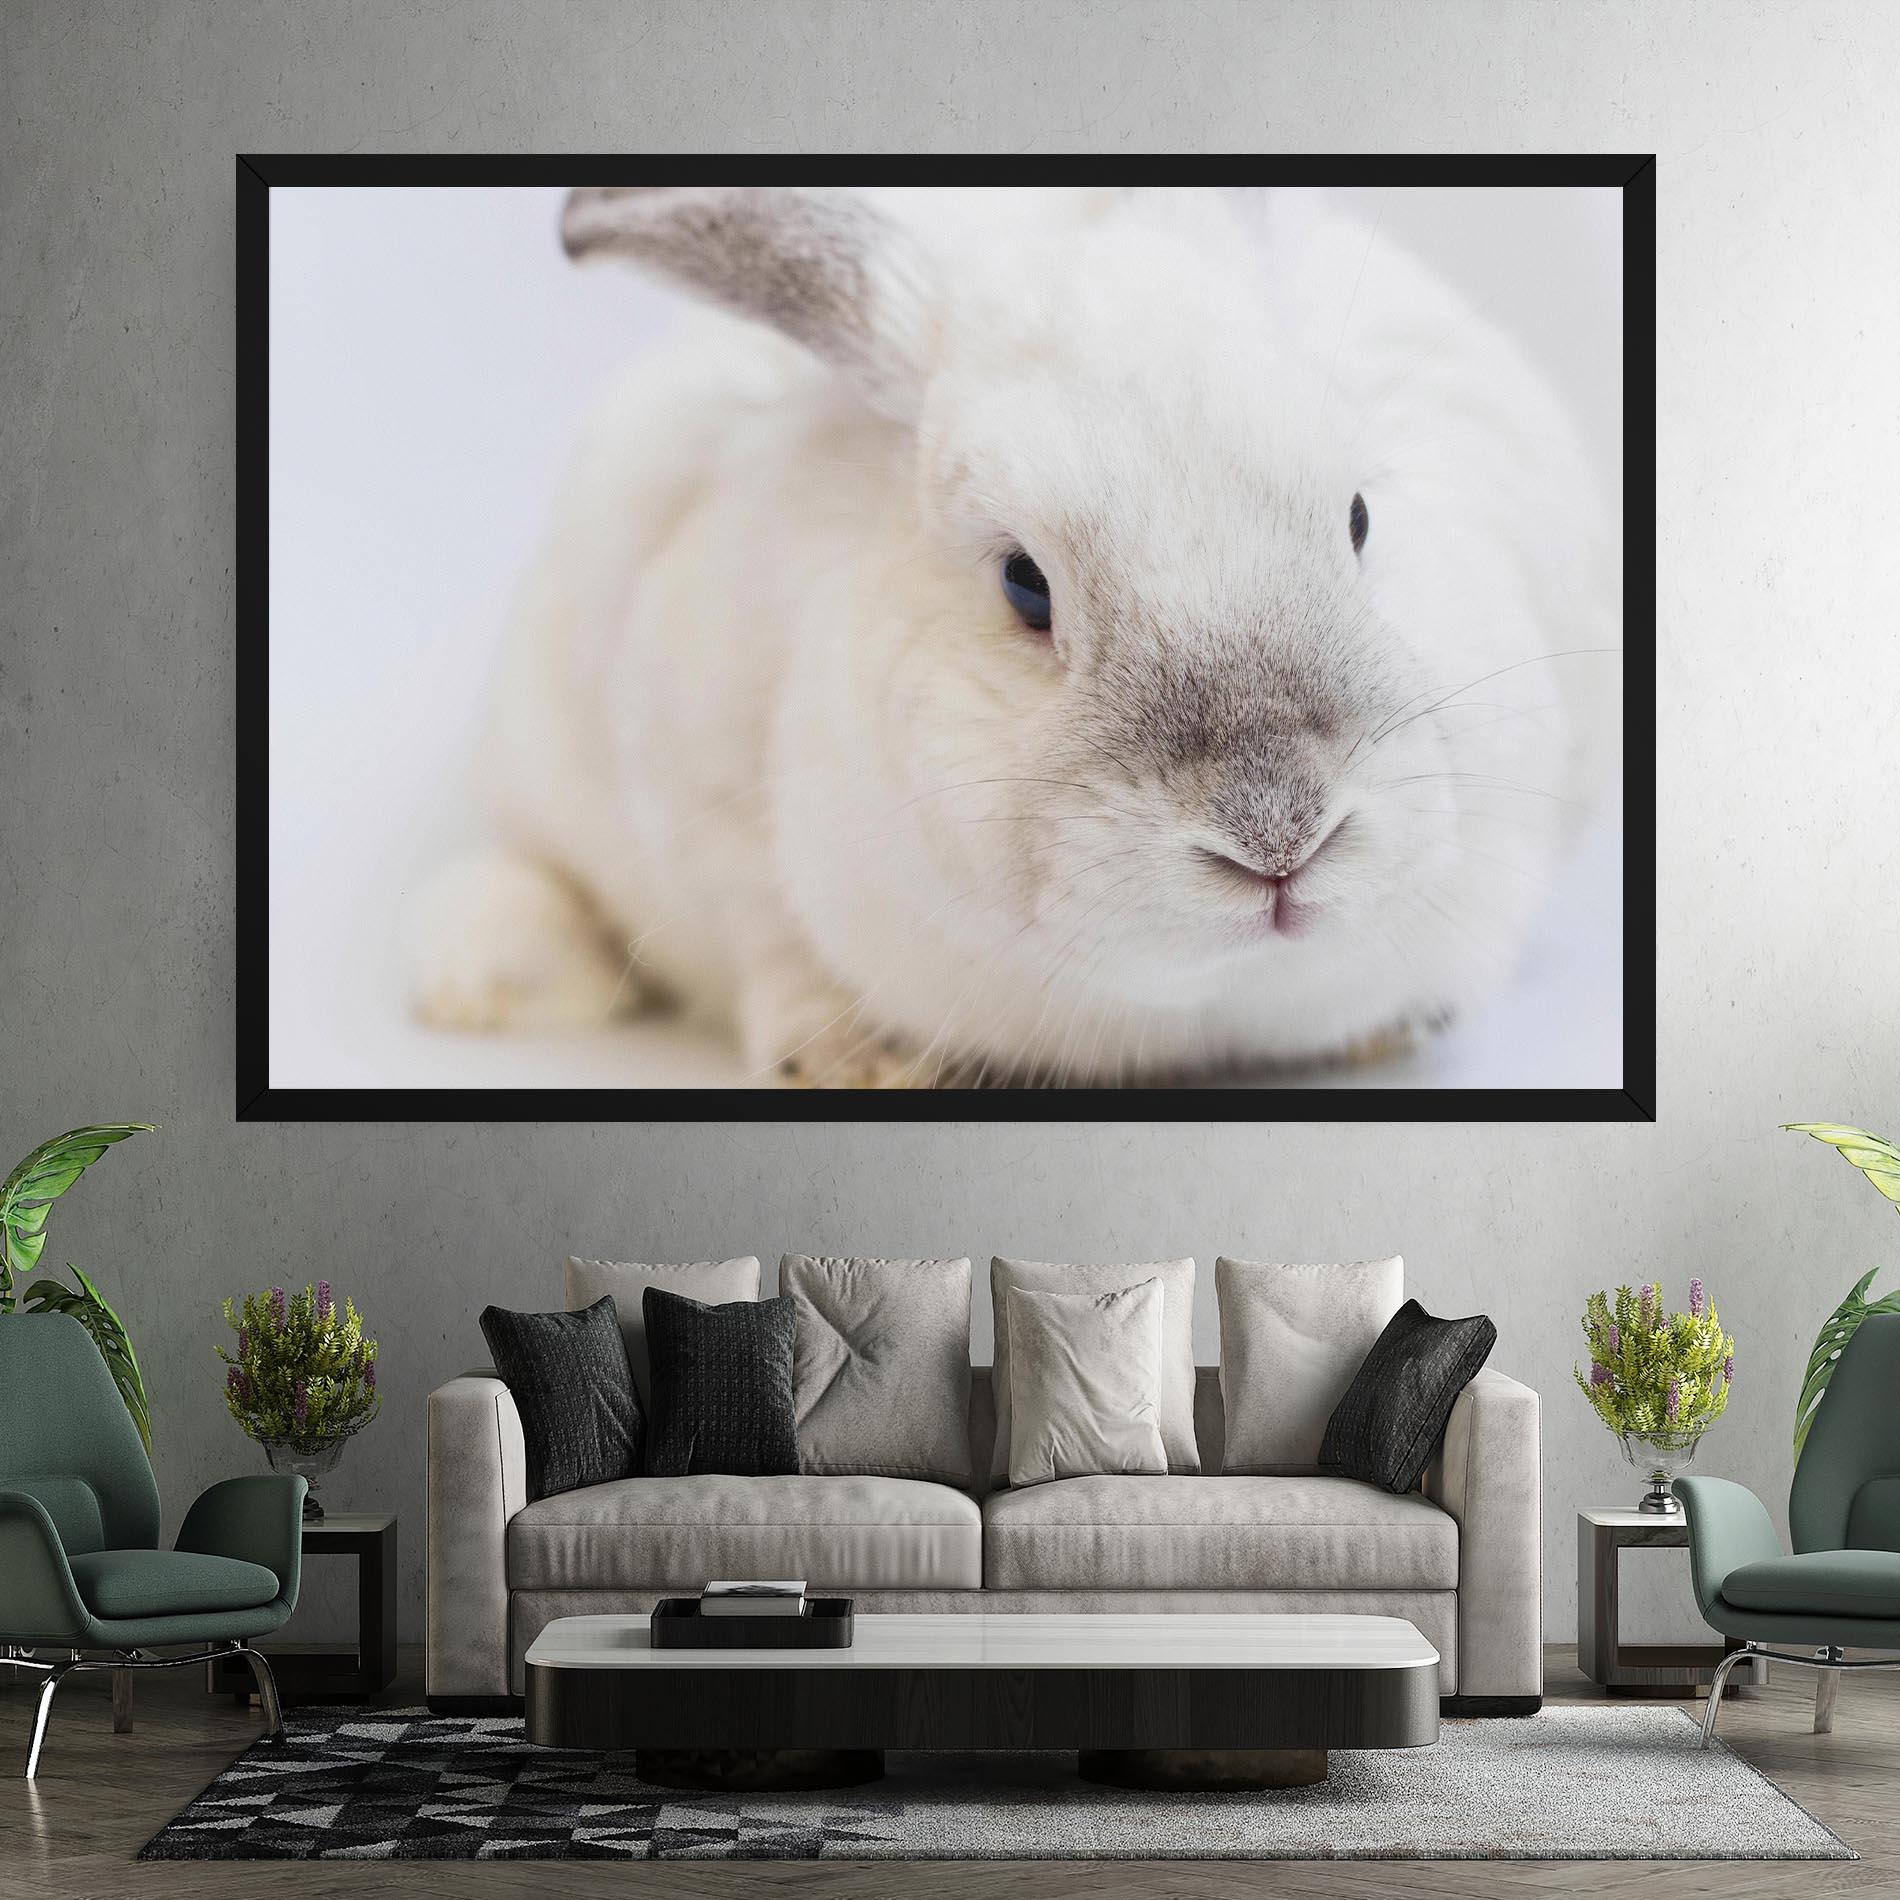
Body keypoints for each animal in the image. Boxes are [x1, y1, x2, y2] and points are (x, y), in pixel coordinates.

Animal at [408, 184, 1619, 1087]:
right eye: (1024, 585)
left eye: (1361, 516)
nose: (1278, 836)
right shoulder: (701, 797)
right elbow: (770, 942)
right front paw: (856, 1059)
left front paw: (1390, 1029)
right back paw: (482, 984)